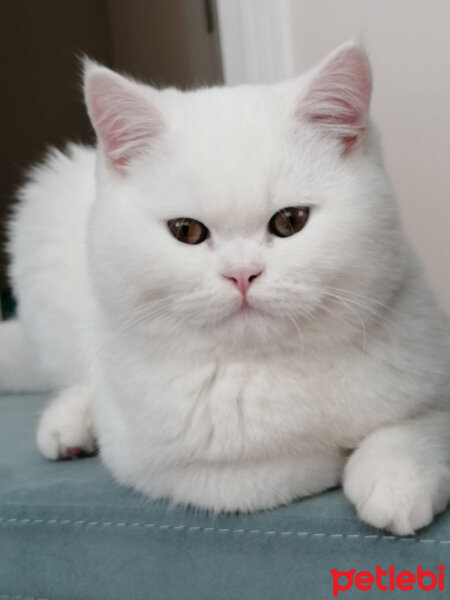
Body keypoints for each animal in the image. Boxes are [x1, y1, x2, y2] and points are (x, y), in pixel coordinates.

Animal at [1, 43, 448, 536]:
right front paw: (335, 456)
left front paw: (397, 478)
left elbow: (421, 425)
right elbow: (279, 471)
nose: (242, 274)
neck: (273, 366)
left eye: (290, 220)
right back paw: (71, 421)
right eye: (186, 231)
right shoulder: (161, 466)